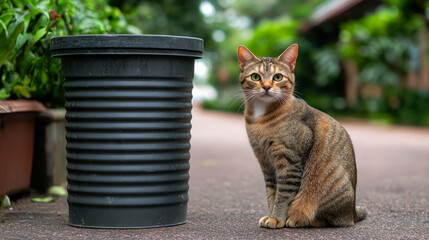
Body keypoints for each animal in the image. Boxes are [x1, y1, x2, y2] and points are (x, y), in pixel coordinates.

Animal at [237, 43, 364, 229]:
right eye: (255, 76)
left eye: (277, 77)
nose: (266, 86)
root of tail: (352, 212)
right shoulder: (266, 163)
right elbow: (271, 194)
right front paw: (270, 215)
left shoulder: (290, 163)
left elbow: (283, 195)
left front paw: (277, 218)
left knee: (333, 221)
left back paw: (300, 220)